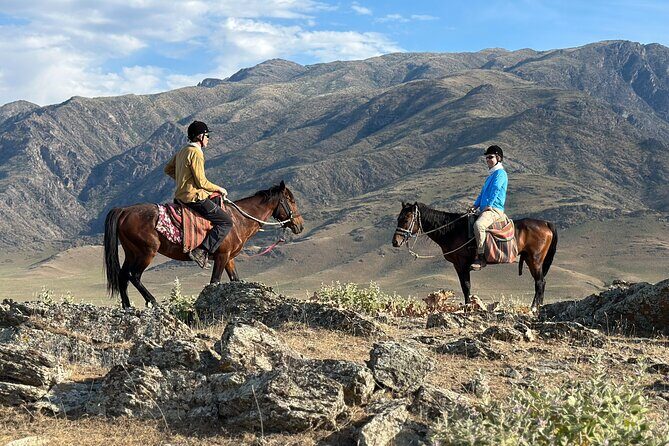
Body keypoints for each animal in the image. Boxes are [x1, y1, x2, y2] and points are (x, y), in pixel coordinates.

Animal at [103, 181, 304, 308]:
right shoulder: (222, 257)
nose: (300, 225)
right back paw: (153, 302)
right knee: (134, 276)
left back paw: (127, 307)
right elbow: (214, 281)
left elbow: (235, 280)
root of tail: (124, 210)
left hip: (132, 252)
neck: (238, 220)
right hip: (146, 252)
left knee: (123, 276)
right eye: (292, 201)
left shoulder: (229, 258)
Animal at [392, 202, 557, 311]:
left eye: (406, 219)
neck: (452, 230)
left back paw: (534, 308)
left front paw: (467, 307)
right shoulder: (458, 265)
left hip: (534, 260)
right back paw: (539, 307)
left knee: (540, 283)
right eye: (398, 218)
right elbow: (465, 286)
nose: (395, 242)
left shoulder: (461, 264)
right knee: (541, 282)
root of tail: (545, 223)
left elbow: (466, 286)